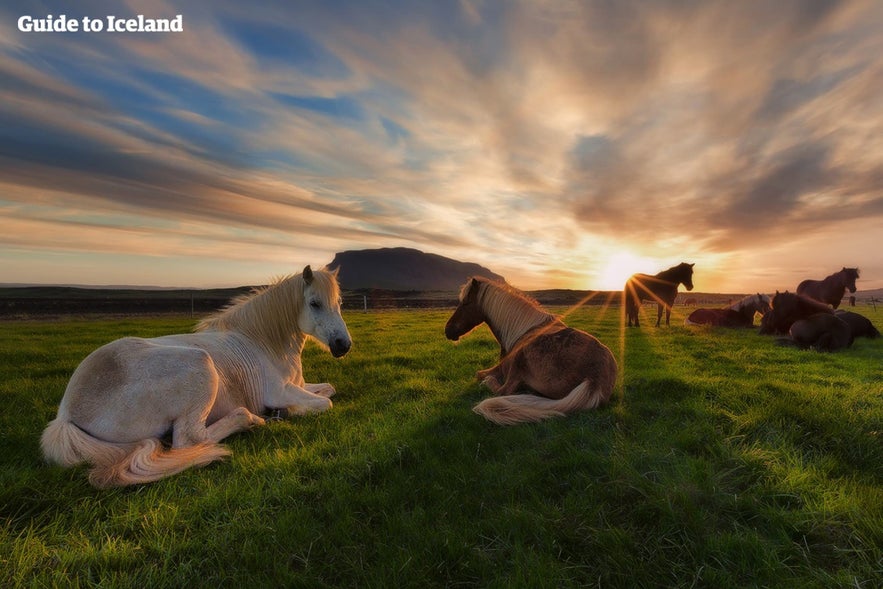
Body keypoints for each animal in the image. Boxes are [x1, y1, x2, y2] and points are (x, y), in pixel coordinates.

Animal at [40, 266, 352, 486]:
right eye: (314, 303)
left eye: (339, 302)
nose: (343, 345)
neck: (262, 342)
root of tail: (66, 413)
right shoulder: (280, 392)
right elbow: (325, 402)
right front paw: (286, 412)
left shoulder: (299, 386)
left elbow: (329, 389)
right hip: (201, 365)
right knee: (191, 439)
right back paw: (253, 419)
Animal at [446, 278, 620, 424]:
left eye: (465, 303)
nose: (447, 330)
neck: (523, 330)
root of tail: (595, 379)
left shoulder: (501, 368)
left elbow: (479, 374)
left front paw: (485, 378)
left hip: (520, 358)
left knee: (504, 390)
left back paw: (489, 382)